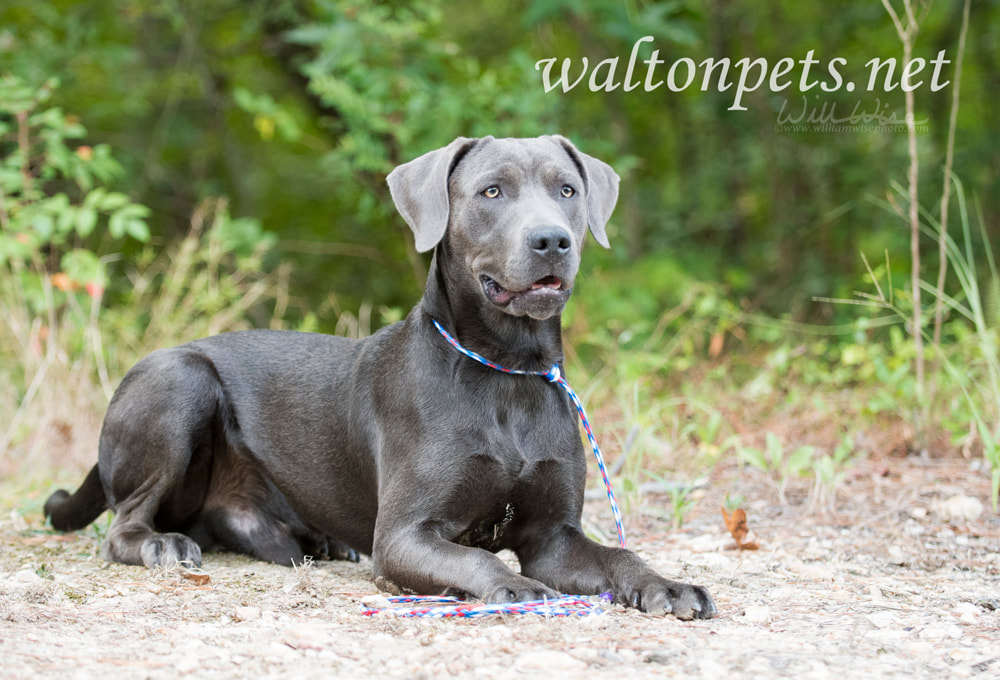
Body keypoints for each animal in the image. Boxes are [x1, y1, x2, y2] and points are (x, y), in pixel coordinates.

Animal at [47, 135, 716, 620]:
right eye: (492, 191)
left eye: (568, 189)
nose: (551, 240)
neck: (507, 371)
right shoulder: (404, 536)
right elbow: (477, 562)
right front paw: (517, 588)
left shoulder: (554, 537)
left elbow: (622, 554)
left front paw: (669, 585)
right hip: (178, 379)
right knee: (126, 521)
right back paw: (159, 544)